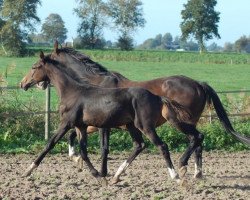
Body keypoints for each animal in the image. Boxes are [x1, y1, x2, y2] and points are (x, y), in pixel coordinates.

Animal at [20, 51, 191, 184]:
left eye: (34, 67)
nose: (23, 84)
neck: (72, 92)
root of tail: (157, 97)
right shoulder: (81, 126)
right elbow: (83, 151)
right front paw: (99, 176)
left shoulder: (66, 123)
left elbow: (50, 144)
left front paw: (27, 170)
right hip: (132, 126)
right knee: (139, 145)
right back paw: (116, 176)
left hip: (146, 126)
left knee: (162, 146)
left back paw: (177, 176)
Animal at [47, 43, 250, 180]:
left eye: (47, 59)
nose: (40, 82)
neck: (95, 83)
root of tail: (199, 84)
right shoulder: (92, 123)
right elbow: (72, 135)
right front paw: (77, 160)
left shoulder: (104, 125)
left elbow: (104, 148)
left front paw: (102, 172)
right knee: (198, 142)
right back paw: (196, 174)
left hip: (182, 122)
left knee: (196, 139)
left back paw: (183, 166)